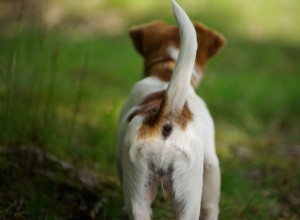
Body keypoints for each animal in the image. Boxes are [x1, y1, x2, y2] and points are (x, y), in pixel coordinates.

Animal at [116, 0, 225, 219]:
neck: (166, 71)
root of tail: (166, 114)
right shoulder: (211, 162)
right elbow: (211, 204)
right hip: (189, 193)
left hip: (139, 192)